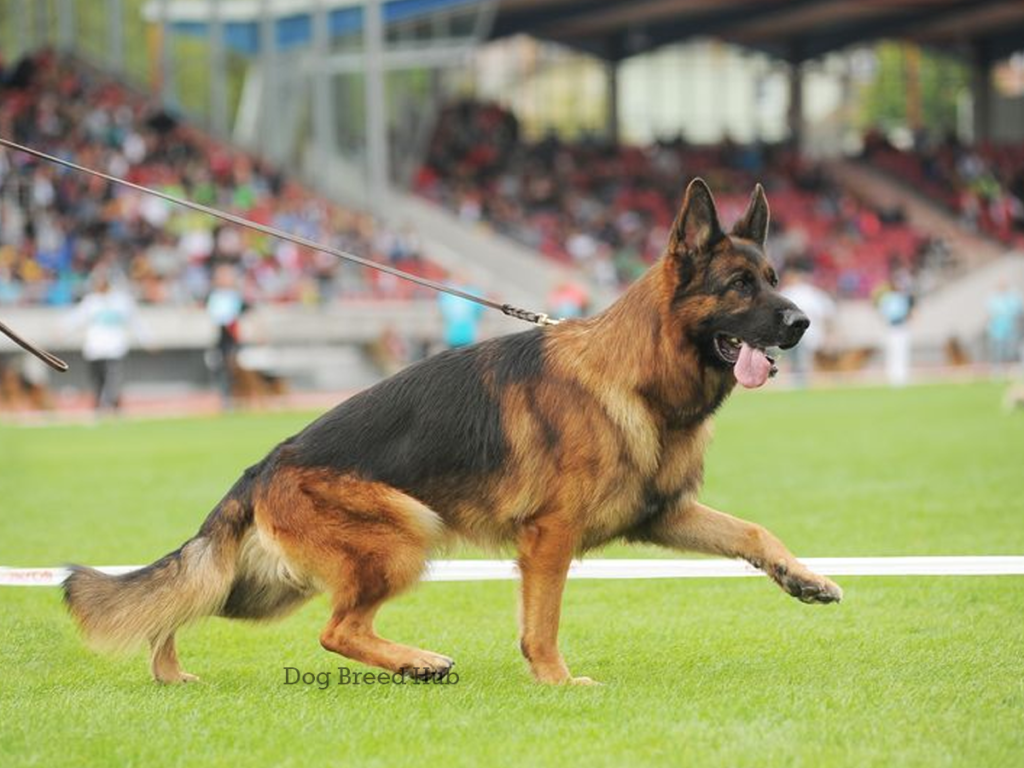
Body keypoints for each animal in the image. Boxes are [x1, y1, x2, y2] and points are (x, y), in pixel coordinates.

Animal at [64, 180, 839, 684]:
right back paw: (417, 662)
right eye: (739, 286)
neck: (638, 376)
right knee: (335, 629)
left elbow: (753, 531)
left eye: (775, 277)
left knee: (191, 601)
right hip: (407, 532)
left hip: (266, 587)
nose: (803, 322)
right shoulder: (549, 538)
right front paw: (557, 682)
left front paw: (803, 577)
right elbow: (543, 622)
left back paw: (172, 670)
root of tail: (261, 467)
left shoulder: (664, 513)